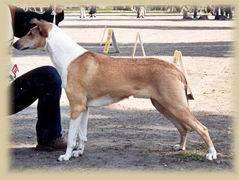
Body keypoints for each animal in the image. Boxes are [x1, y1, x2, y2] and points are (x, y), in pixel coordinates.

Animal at [13, 19, 218, 161]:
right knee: (184, 128)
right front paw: (79, 152)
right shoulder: (85, 108)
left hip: (175, 105)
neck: (69, 58)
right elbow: (82, 135)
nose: (15, 44)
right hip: (163, 105)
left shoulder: (76, 107)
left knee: (201, 128)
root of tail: (175, 68)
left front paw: (66, 156)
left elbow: (72, 137)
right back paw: (181, 147)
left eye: (30, 33)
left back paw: (211, 154)